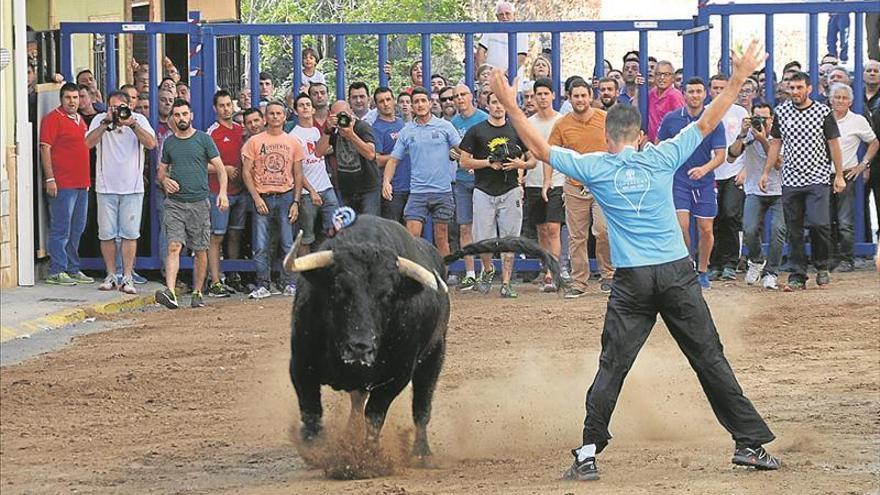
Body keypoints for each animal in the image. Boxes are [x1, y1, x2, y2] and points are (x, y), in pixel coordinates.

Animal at [286, 215, 560, 460]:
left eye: (388, 295)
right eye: (338, 289)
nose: (360, 347)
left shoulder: (398, 374)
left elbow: (375, 414)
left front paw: (364, 458)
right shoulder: (300, 365)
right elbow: (312, 411)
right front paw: (316, 450)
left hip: (434, 357)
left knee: (421, 408)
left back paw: (421, 452)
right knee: (357, 402)